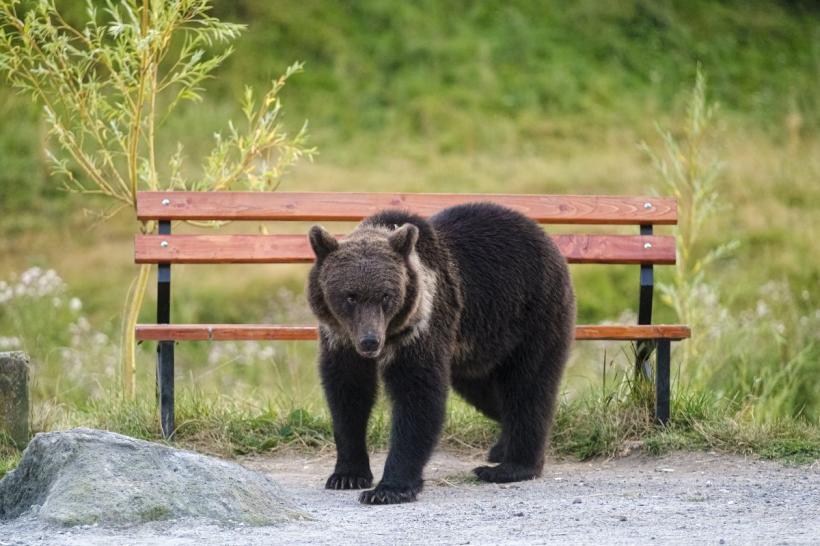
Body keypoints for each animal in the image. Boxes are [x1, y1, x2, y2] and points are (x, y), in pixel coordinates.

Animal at [308, 202, 576, 504]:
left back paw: (510, 466)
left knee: (527, 387)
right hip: (476, 349)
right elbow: (347, 395)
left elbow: (417, 396)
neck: (392, 335)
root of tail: (545, 237)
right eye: (350, 296)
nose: (369, 341)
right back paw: (500, 447)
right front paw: (347, 474)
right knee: (489, 394)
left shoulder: (423, 327)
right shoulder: (340, 340)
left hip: (532, 315)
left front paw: (389, 488)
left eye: (386, 296)